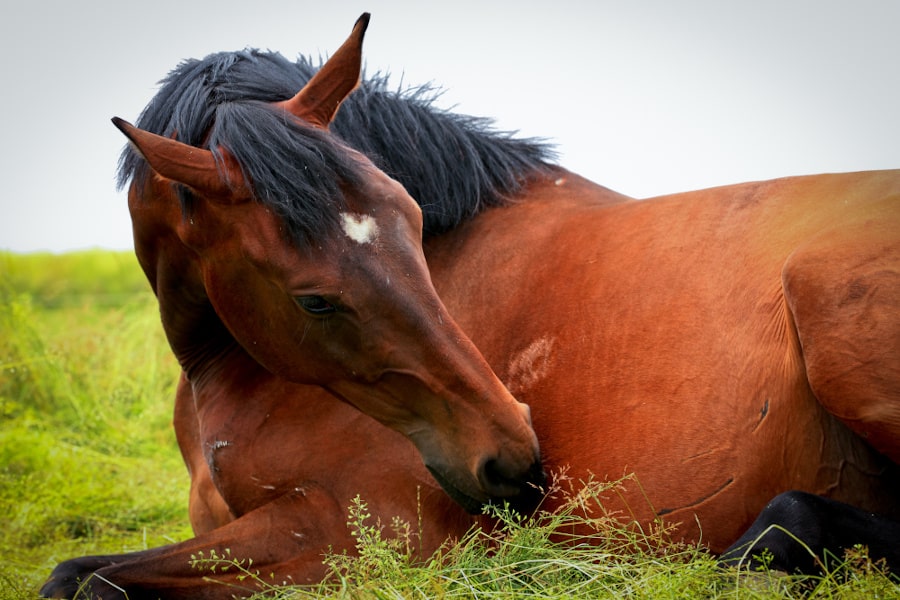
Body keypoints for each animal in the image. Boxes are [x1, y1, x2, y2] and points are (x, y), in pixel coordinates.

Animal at [42, 13, 900, 599]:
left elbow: (83, 577)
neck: (235, 378)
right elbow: (80, 573)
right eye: (313, 300)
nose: (513, 456)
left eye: (414, 220)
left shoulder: (353, 537)